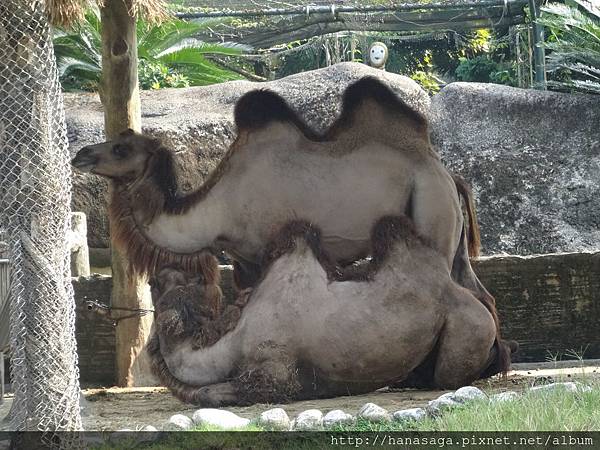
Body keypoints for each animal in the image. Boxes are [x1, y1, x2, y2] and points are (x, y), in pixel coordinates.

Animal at [72, 78, 490, 310]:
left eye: (121, 148)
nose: (81, 154)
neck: (216, 210)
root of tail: (446, 174)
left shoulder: (264, 250)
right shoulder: (243, 260)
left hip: (431, 207)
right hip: (446, 223)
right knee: (478, 291)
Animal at [145, 216, 506, 406]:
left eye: (154, 283)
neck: (233, 341)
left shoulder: (274, 375)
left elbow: (212, 392)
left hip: (469, 324)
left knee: (453, 372)